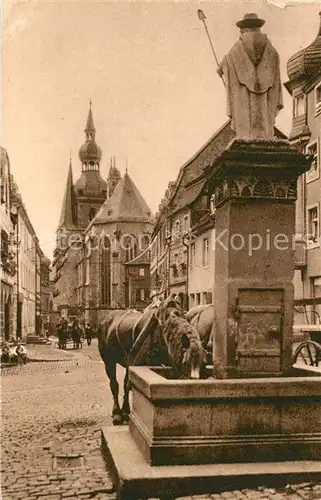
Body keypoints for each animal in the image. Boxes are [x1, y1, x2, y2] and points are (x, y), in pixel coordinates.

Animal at [97, 296, 205, 426]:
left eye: (203, 363)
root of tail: (105, 320)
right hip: (109, 360)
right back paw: (117, 414)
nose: (194, 382)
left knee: (125, 383)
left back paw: (125, 412)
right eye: (185, 362)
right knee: (114, 384)